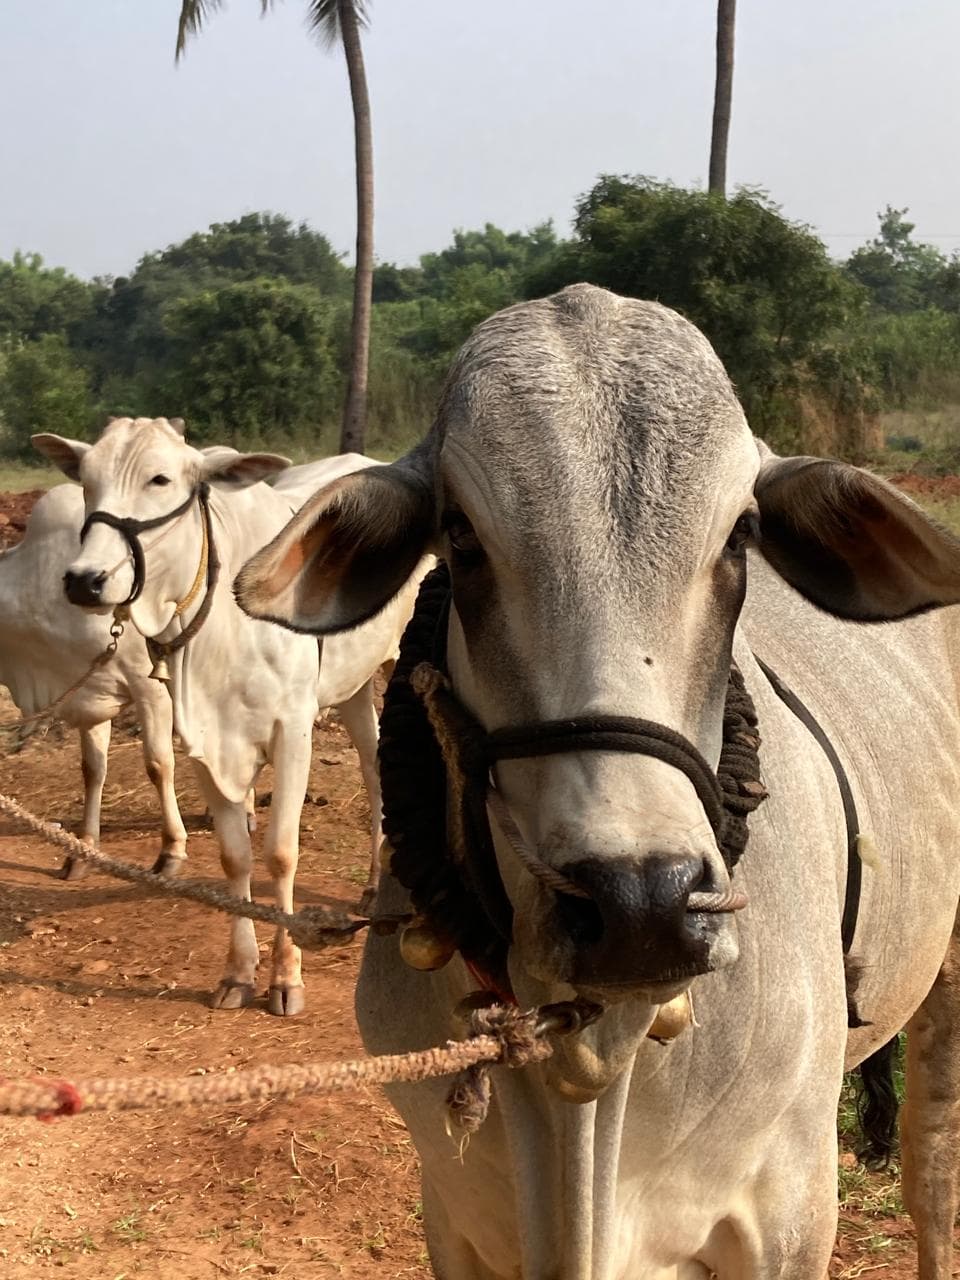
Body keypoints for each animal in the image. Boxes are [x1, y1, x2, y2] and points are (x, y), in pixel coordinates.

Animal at [0, 482, 187, 878]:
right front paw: (84, 849)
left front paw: (171, 851)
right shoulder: (88, 691)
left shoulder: (150, 686)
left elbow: (158, 765)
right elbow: (93, 770)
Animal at [35, 418, 425, 1016]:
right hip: (353, 685)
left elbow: (281, 854)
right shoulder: (201, 741)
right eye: (87, 481)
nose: (84, 579)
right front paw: (239, 972)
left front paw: (287, 976)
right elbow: (235, 857)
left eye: (161, 479)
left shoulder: (293, 731)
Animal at [235, 285, 960, 1277]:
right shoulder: (453, 1213)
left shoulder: (791, 1208)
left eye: (742, 534)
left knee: (933, 1176)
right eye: (459, 536)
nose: (640, 904)